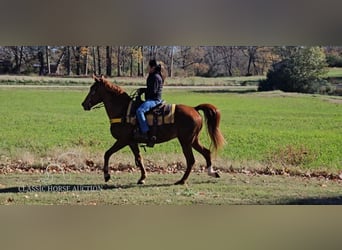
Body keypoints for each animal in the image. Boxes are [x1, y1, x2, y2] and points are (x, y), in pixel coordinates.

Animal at [81, 75, 226, 185]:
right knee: (206, 152)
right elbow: (139, 158)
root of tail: (194, 109)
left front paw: (107, 176)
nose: (83, 104)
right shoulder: (132, 142)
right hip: (193, 140)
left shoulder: (123, 140)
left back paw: (182, 180)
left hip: (185, 141)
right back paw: (212, 172)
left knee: (191, 160)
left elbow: (107, 154)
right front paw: (142, 178)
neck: (123, 111)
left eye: (93, 90)